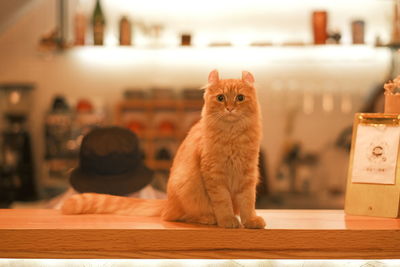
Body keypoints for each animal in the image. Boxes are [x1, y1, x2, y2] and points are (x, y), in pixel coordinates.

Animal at [62, 70, 268, 229]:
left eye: (240, 98)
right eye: (221, 98)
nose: (230, 108)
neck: (233, 135)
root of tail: (167, 201)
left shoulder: (248, 175)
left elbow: (248, 203)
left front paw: (250, 221)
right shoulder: (214, 175)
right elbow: (223, 202)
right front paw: (227, 220)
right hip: (185, 187)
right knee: (176, 216)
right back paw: (207, 218)